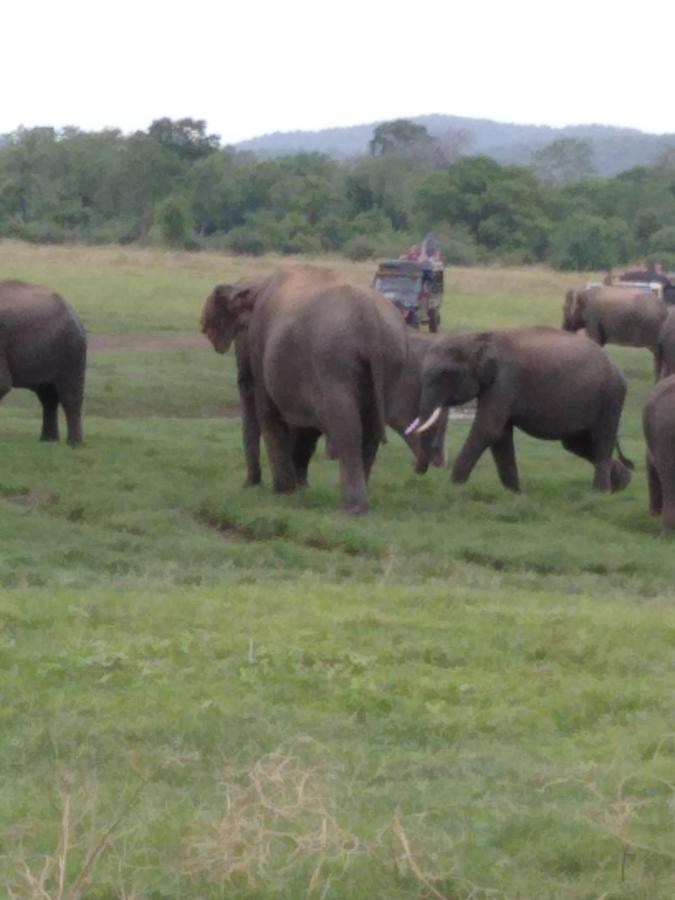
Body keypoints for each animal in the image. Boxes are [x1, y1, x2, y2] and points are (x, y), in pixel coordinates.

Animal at [0, 280, 87, 444]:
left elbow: (2, 385)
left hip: (71, 350)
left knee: (69, 395)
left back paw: (74, 444)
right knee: (47, 396)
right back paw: (48, 441)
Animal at [198, 266, 448, 512]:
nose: (249, 485)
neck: (259, 281)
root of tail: (369, 318)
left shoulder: (262, 347)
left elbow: (269, 415)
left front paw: (283, 492)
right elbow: (304, 428)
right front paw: (300, 489)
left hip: (333, 362)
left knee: (346, 425)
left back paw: (351, 508)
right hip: (390, 362)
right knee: (371, 426)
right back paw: (359, 500)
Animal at [406, 326, 632, 492]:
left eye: (445, 374)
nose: (419, 475)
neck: (481, 336)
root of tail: (616, 367)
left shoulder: (505, 381)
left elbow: (488, 429)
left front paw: (454, 486)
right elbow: (500, 436)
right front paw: (514, 493)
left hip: (611, 397)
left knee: (602, 440)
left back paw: (600, 492)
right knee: (576, 444)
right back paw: (620, 484)